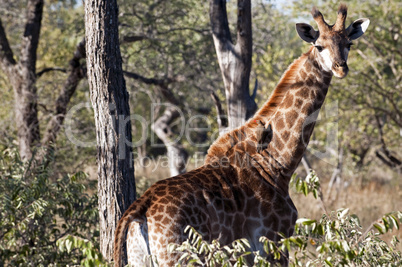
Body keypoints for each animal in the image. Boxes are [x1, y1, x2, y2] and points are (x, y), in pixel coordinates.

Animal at [114, 5, 370, 266]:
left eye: (348, 43)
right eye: (319, 45)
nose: (341, 67)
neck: (276, 163)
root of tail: (141, 207)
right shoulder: (274, 242)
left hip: (140, 258)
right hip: (180, 256)